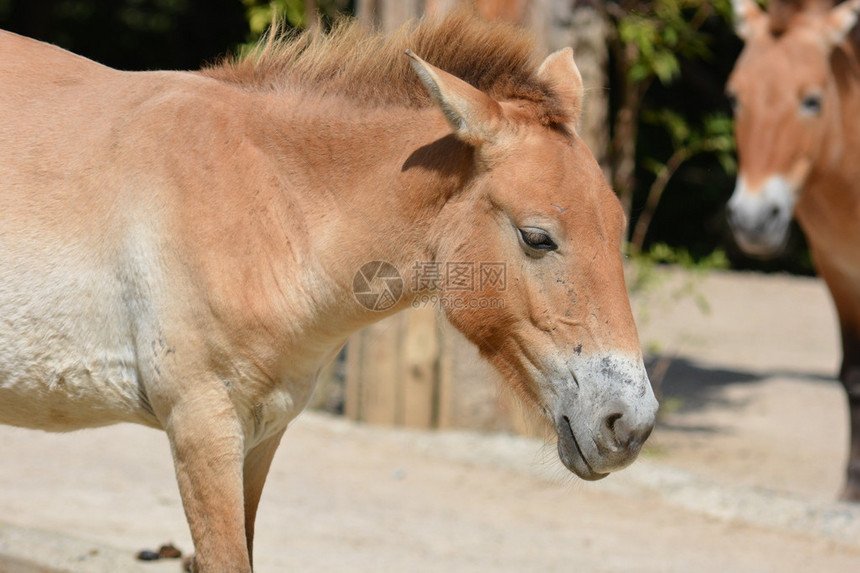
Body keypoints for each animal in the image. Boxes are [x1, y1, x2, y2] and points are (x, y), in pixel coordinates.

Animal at [1, 10, 660, 572]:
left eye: (617, 224)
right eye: (536, 237)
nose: (630, 424)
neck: (261, 205)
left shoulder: (262, 433)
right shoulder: (200, 425)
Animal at [728, 0, 860, 498]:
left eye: (812, 100)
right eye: (734, 98)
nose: (752, 219)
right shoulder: (839, 272)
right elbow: (853, 378)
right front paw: (850, 490)